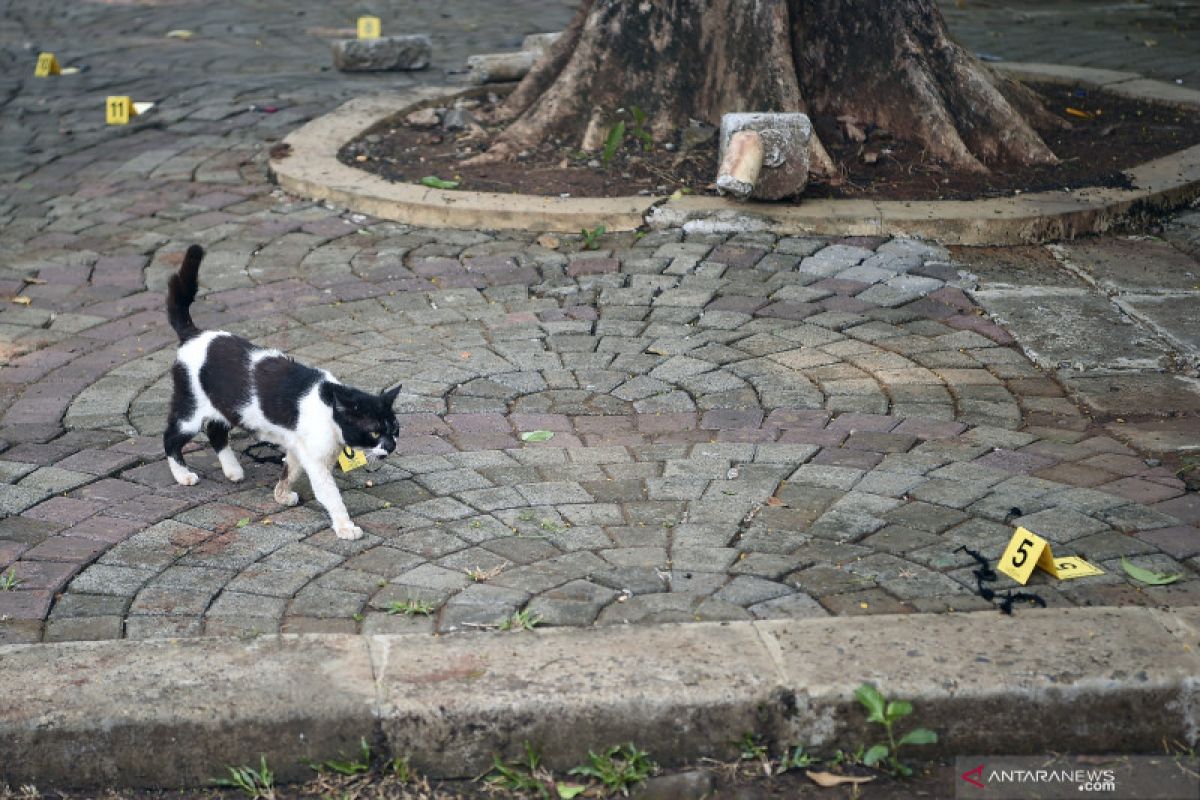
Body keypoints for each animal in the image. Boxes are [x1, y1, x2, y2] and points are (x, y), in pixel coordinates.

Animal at [163, 244, 403, 542]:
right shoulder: (316, 461)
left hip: (225, 408)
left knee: (216, 432)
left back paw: (232, 470)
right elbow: (331, 496)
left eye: (395, 429)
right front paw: (345, 526)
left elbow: (289, 471)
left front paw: (281, 495)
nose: (391, 446)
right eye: (374, 432)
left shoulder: (298, 448)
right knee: (171, 438)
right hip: (191, 411)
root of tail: (193, 334)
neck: (329, 409)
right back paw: (182, 475)